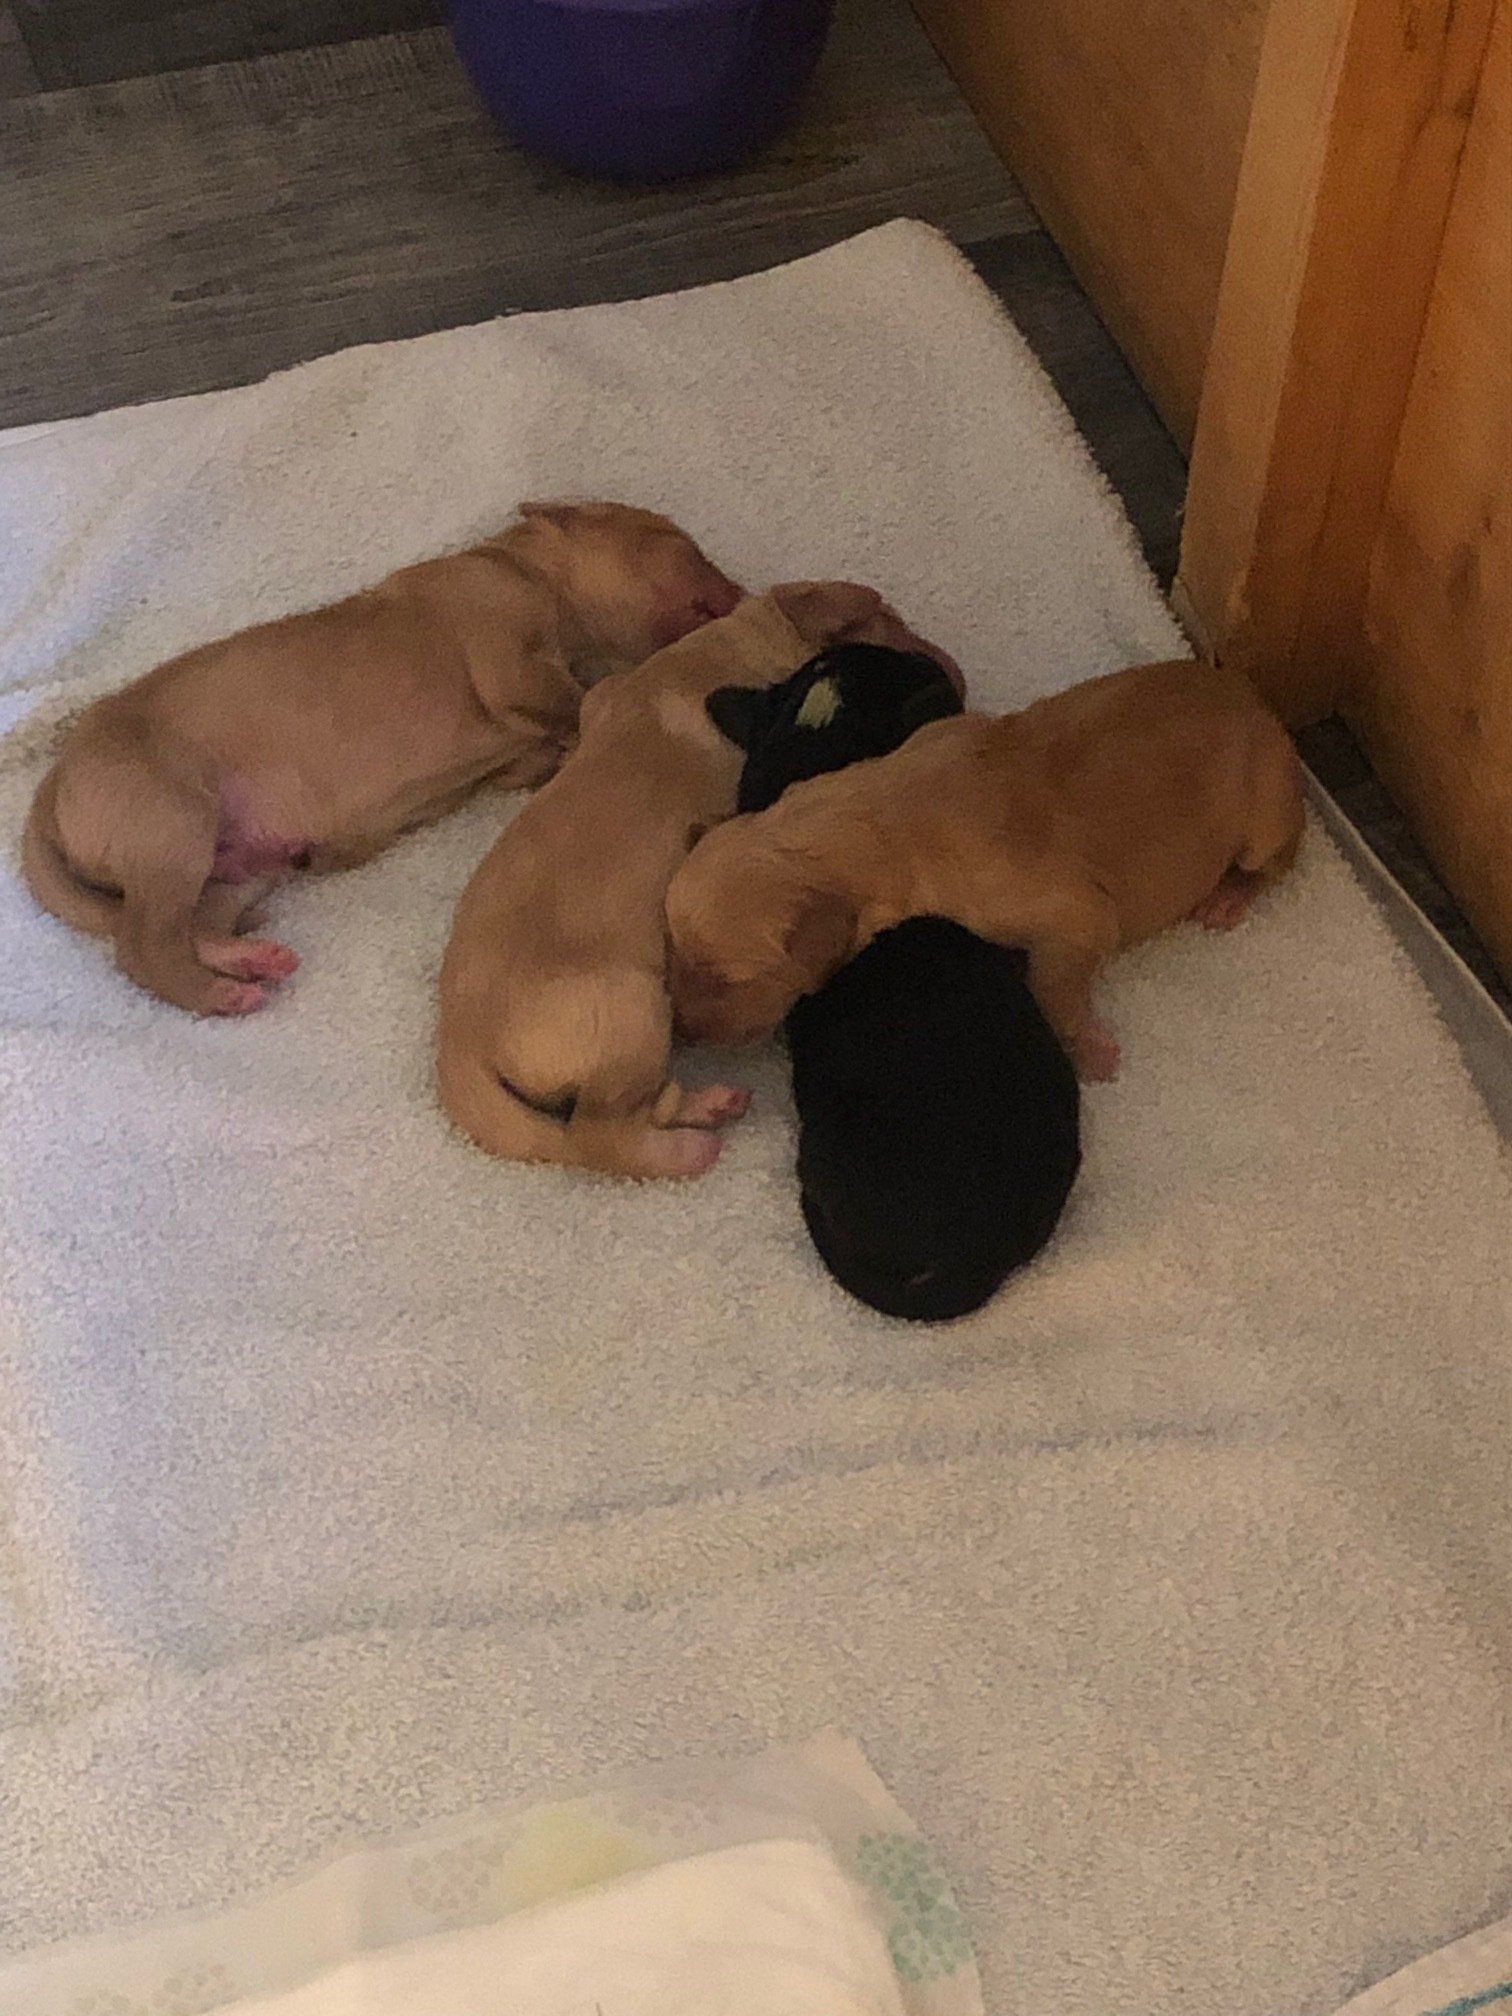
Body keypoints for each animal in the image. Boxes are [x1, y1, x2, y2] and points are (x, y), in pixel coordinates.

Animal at [22, 501, 740, 1016]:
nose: (741, 590)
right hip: (173, 825)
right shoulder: (510, 657)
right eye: (680, 540)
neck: (529, 569)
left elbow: (542, 746)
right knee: (140, 946)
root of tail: (54, 780)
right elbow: (577, 693)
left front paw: (560, 751)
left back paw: (246, 959)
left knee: (189, 926)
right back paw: (219, 993)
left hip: (236, 872)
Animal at [437, 586, 959, 1181]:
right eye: (891, 625)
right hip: (635, 1014)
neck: (727, 647)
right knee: (601, 1137)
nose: (953, 671)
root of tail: (458, 1045)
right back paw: (690, 1144)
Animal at [668, 657, 1304, 1080]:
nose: (681, 1035)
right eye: (676, 957)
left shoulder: (1075, 917)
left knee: (1280, 858)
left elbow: (1053, 984)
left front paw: (1089, 1050)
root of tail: (1261, 704)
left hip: (1266, 810)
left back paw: (1230, 895)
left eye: (725, 978)